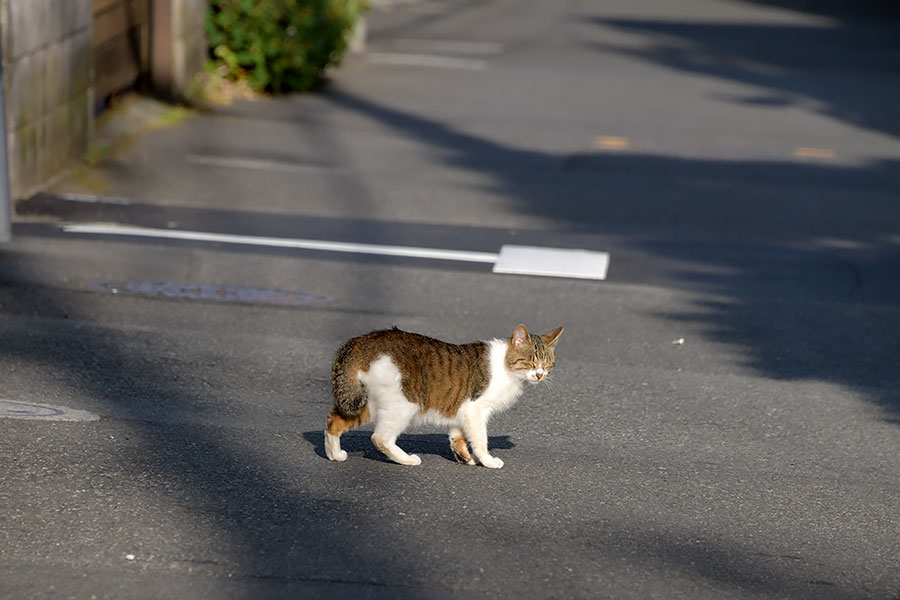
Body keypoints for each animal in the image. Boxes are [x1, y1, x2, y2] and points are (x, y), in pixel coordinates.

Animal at [324, 324, 564, 468]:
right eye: (531, 362)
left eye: (547, 364)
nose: (540, 375)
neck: (506, 367)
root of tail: (362, 342)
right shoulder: (476, 409)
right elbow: (480, 439)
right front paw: (487, 460)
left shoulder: (462, 408)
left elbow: (457, 436)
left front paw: (464, 457)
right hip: (404, 403)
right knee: (380, 438)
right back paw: (407, 459)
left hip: (366, 402)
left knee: (333, 422)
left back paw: (335, 454)